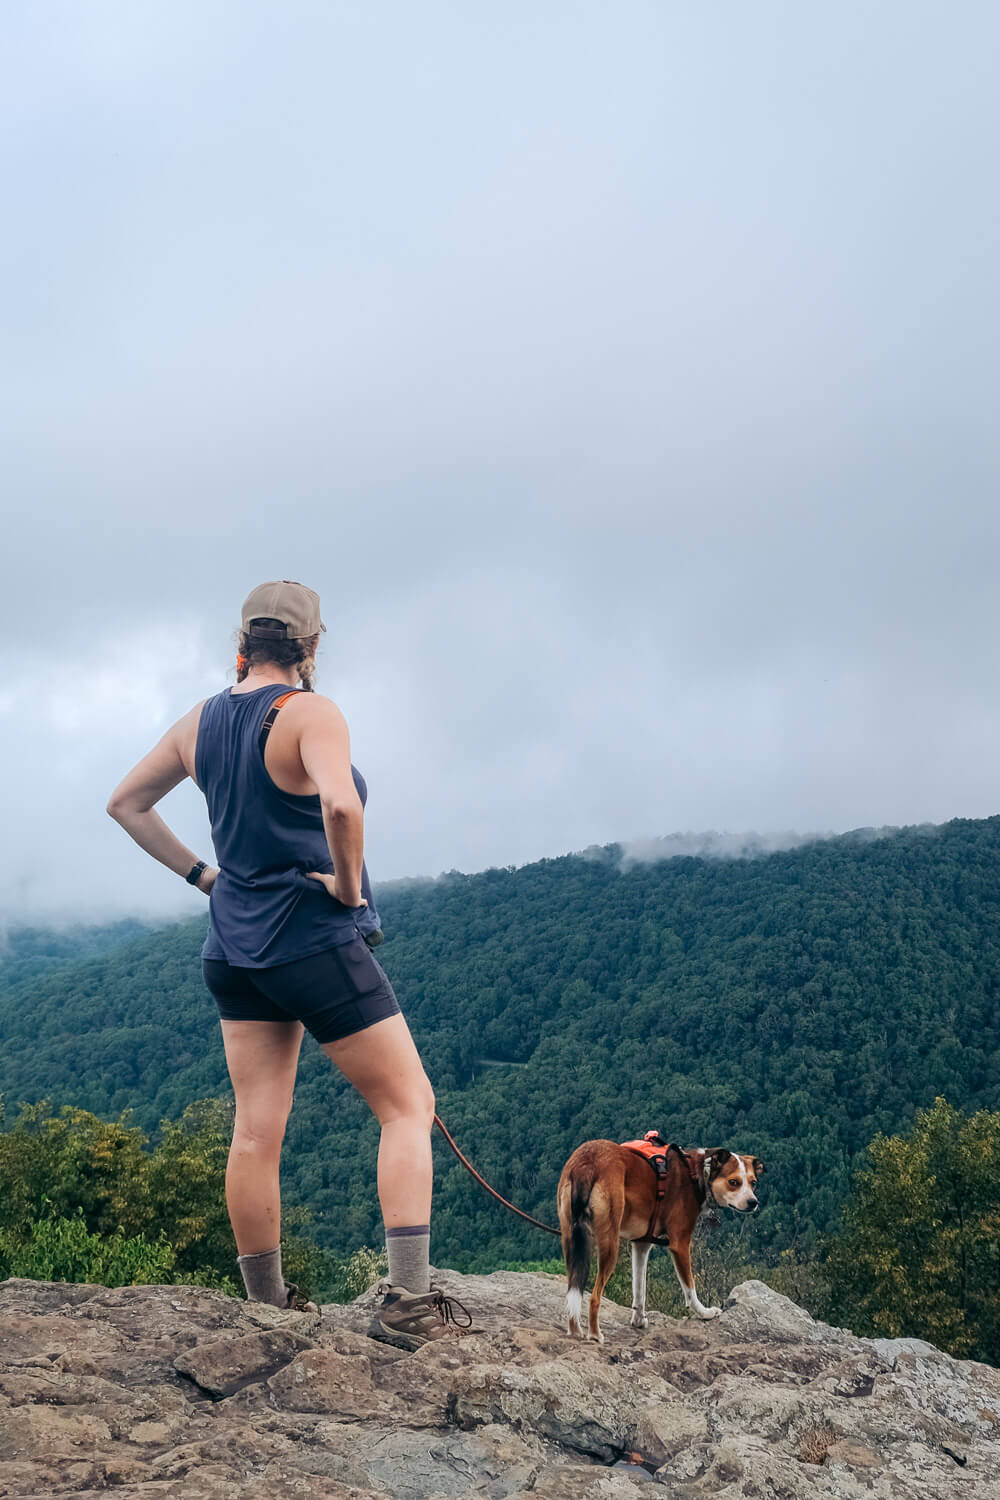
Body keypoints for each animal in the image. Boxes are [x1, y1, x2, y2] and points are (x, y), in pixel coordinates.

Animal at [560, 1134, 761, 1350]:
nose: (753, 1203)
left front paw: (639, 1320)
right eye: (734, 1182)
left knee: (573, 1287)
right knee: (594, 1297)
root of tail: (587, 1161)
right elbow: (690, 1288)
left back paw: (574, 1331)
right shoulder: (680, 1243)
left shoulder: (641, 1244)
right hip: (610, 1242)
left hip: (571, 1239)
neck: (696, 1172)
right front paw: (704, 1313)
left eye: (753, 1183)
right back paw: (595, 1335)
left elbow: (639, 1288)